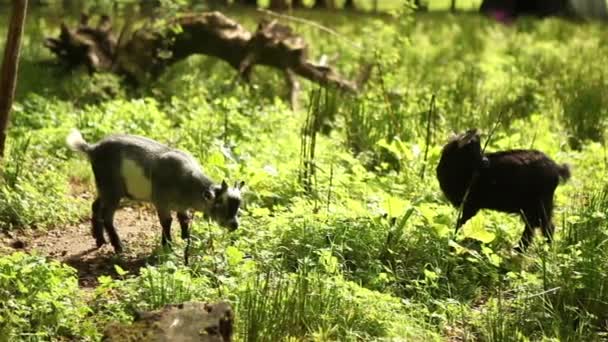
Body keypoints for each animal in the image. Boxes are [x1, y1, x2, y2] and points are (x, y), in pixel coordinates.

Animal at [436, 129, 568, 251]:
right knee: (533, 225)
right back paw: (520, 249)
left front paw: (454, 240)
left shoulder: (472, 204)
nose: (486, 161)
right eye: (472, 151)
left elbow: (462, 221)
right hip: (530, 207)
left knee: (546, 226)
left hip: (541, 203)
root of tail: (556, 167)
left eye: (480, 149)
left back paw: (546, 250)